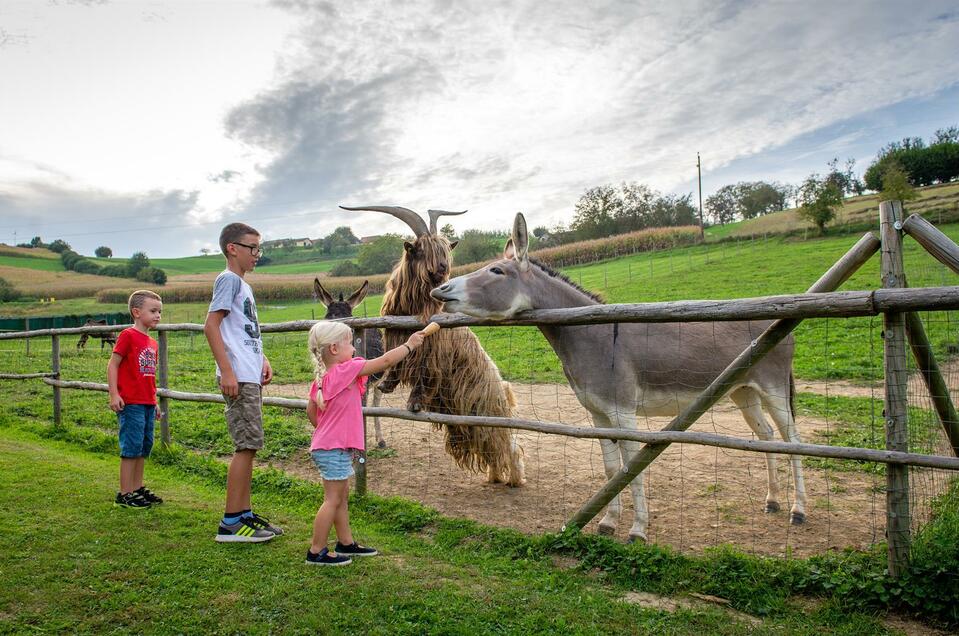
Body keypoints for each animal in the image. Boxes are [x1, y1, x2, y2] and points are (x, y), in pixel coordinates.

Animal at [344, 206, 528, 484]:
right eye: (420, 249)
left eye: (444, 250)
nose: (442, 268)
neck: (415, 307)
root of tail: (503, 389)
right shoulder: (395, 335)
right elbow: (396, 362)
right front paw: (387, 385)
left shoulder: (434, 351)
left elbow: (426, 374)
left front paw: (414, 403)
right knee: (492, 448)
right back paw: (495, 476)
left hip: (486, 412)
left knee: (508, 444)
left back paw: (515, 480)